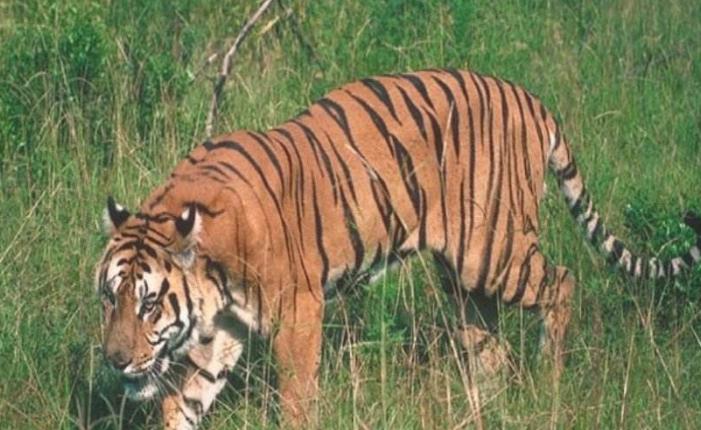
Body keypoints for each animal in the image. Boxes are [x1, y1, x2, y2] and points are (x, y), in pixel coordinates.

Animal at [96, 68, 701, 429]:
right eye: (110, 298)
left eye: (149, 303)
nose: (115, 360)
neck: (212, 276)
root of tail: (531, 99)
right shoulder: (222, 330)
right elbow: (183, 402)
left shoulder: (298, 313)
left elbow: (296, 397)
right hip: (463, 276)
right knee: (488, 342)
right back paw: (486, 405)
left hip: (494, 252)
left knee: (562, 280)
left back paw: (548, 379)